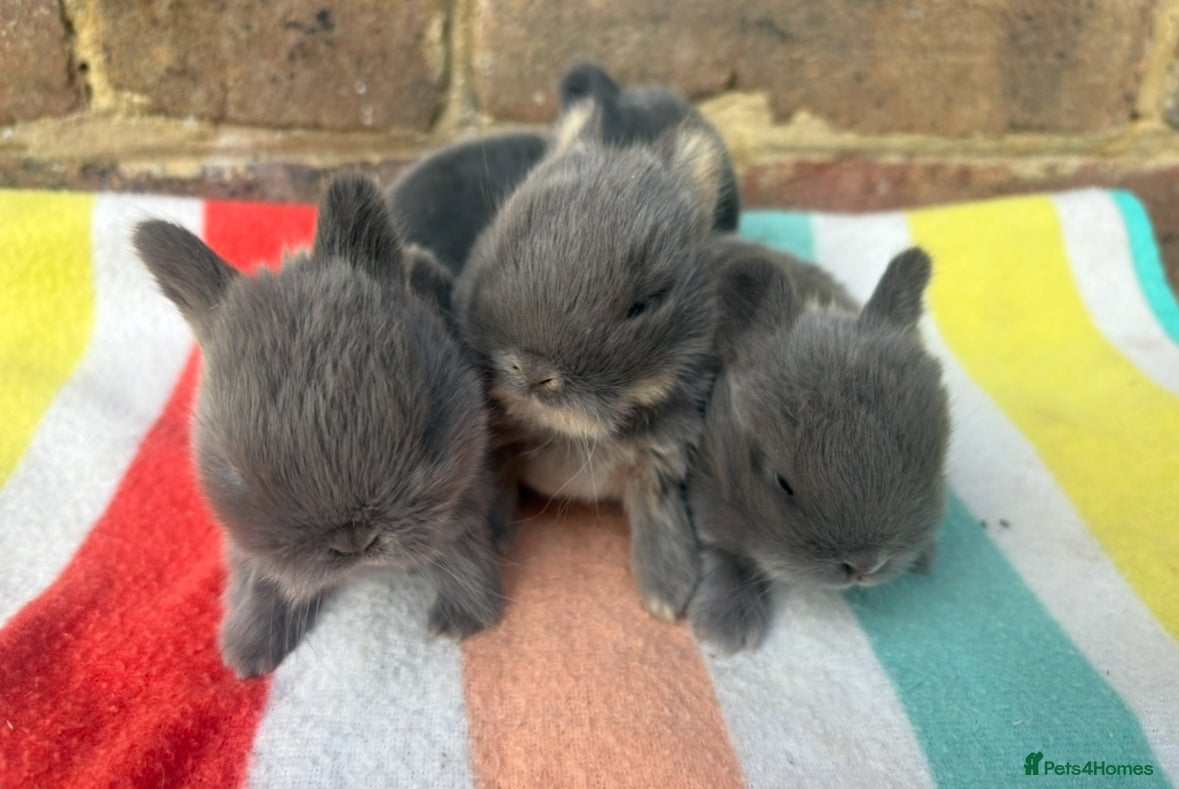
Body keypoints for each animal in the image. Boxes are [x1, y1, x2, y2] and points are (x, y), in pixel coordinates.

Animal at [133, 174, 504, 678]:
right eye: (235, 472)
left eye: (430, 427)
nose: (355, 540)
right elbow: (257, 580)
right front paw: (247, 653)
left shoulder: (465, 497)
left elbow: (463, 555)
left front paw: (462, 620)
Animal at [454, 99, 731, 622]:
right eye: (497, 253)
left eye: (644, 304)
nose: (532, 372)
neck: (572, 433)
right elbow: (496, 484)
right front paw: (497, 539)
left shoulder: (658, 466)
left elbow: (659, 521)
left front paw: (668, 596)